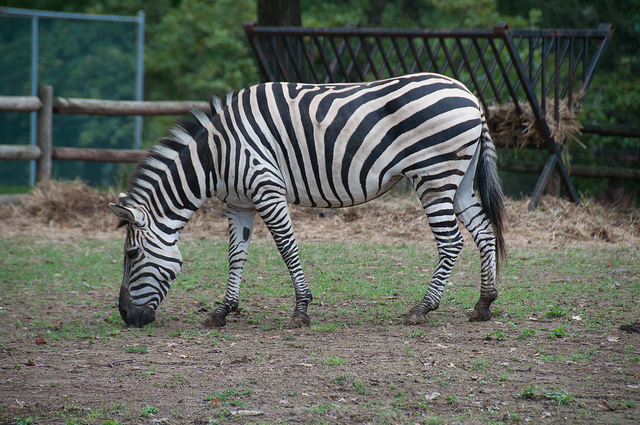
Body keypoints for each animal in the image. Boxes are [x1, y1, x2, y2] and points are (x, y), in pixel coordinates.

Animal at [109, 72, 505, 328]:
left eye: (131, 254)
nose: (125, 317)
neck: (216, 156)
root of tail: (469, 95)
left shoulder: (266, 188)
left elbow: (287, 248)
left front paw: (301, 310)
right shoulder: (239, 202)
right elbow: (236, 255)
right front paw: (223, 310)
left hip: (434, 174)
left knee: (451, 242)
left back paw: (422, 309)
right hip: (459, 179)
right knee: (484, 232)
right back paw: (483, 304)